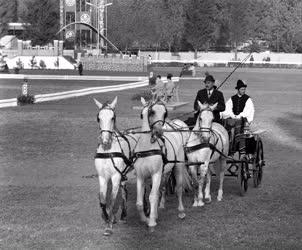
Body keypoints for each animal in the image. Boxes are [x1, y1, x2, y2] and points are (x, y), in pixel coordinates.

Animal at [93, 96, 138, 235]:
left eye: (113, 117)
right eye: (99, 118)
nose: (105, 140)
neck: (108, 152)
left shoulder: (115, 176)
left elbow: (112, 200)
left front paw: (109, 225)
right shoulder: (102, 177)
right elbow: (103, 200)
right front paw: (107, 217)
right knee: (125, 192)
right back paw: (123, 215)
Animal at [134, 97, 191, 232]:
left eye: (165, 113)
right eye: (151, 112)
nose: (159, 131)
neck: (147, 148)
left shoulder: (155, 174)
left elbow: (152, 196)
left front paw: (151, 223)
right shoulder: (141, 176)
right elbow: (139, 202)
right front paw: (146, 218)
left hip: (178, 167)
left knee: (178, 188)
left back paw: (181, 211)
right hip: (165, 172)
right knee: (163, 188)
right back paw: (160, 208)